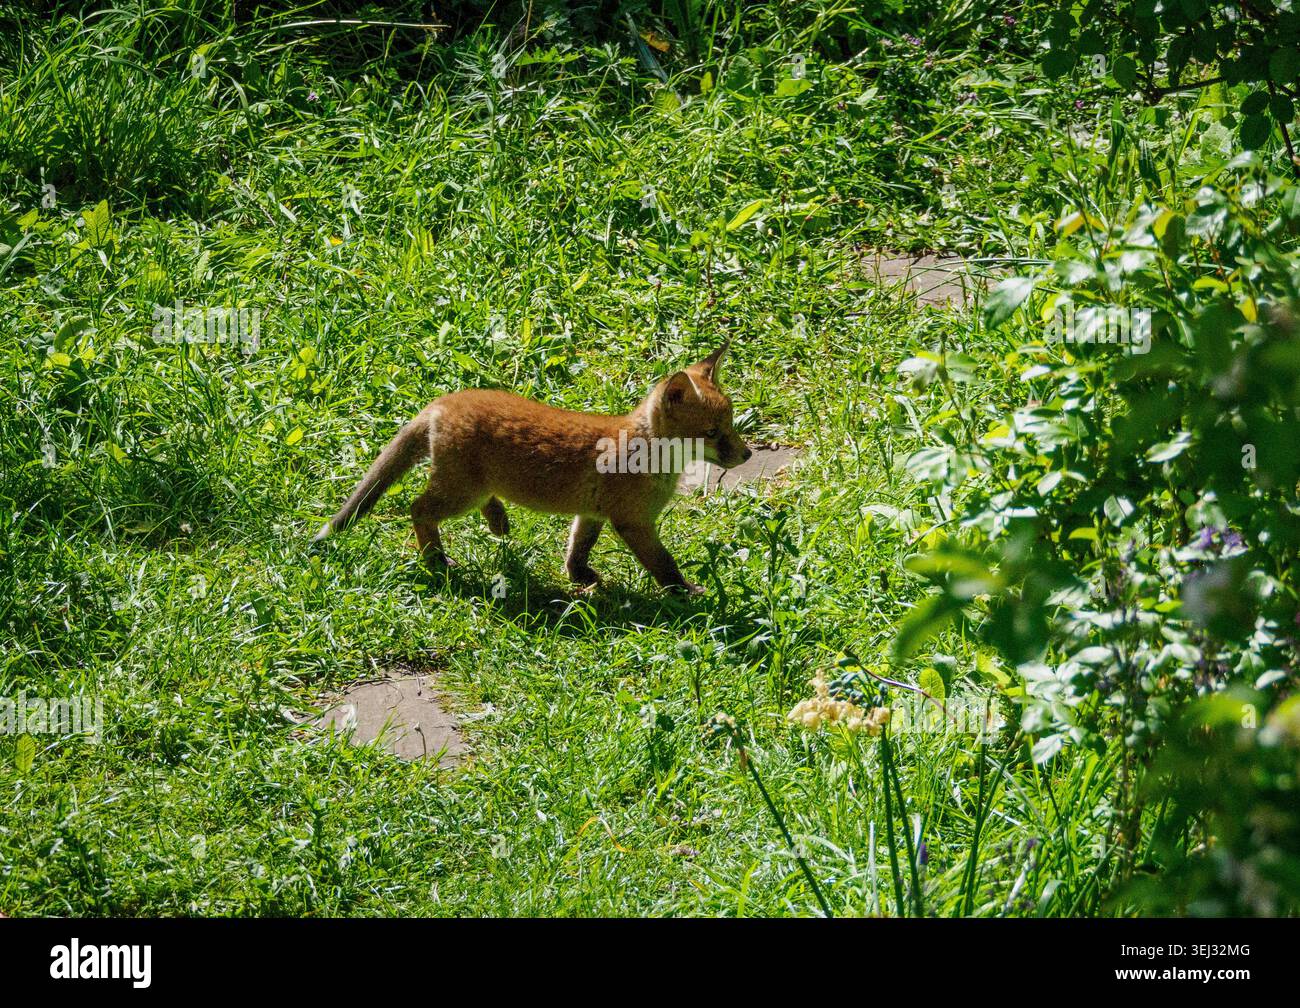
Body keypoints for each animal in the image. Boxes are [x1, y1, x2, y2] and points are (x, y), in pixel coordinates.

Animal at [313, 343, 751, 593]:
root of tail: (443, 401)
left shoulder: (592, 513)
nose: (746, 456)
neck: (648, 453)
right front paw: (686, 594)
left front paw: (580, 578)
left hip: (467, 485)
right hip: (460, 492)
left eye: (731, 425)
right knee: (418, 509)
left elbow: (577, 549)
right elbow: (664, 563)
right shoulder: (633, 521)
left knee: (473, 503)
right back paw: (436, 559)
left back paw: (497, 521)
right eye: (713, 433)